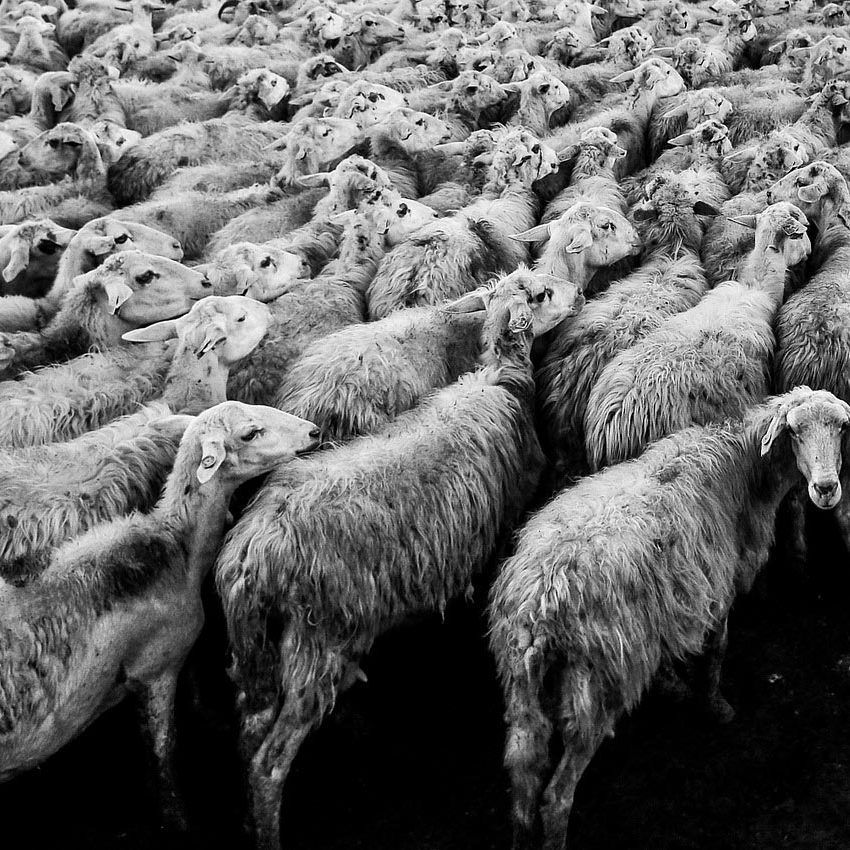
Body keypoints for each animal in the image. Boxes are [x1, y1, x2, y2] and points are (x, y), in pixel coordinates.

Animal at [0, 400, 320, 837]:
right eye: (250, 433)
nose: (315, 432)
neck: (174, 546)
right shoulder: (159, 669)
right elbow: (163, 754)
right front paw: (179, 819)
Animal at [216, 280, 546, 850]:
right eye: (537, 292)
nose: (569, 292)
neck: (498, 376)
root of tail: (250, 553)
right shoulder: (509, 514)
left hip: (261, 646)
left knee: (250, 726)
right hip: (320, 638)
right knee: (269, 762)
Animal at [488, 387, 850, 850]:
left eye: (841, 427)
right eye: (794, 430)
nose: (825, 489)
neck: (743, 473)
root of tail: (539, 603)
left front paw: (675, 685)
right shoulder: (716, 588)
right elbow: (717, 649)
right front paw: (715, 706)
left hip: (520, 681)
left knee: (523, 777)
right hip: (599, 680)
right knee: (555, 798)